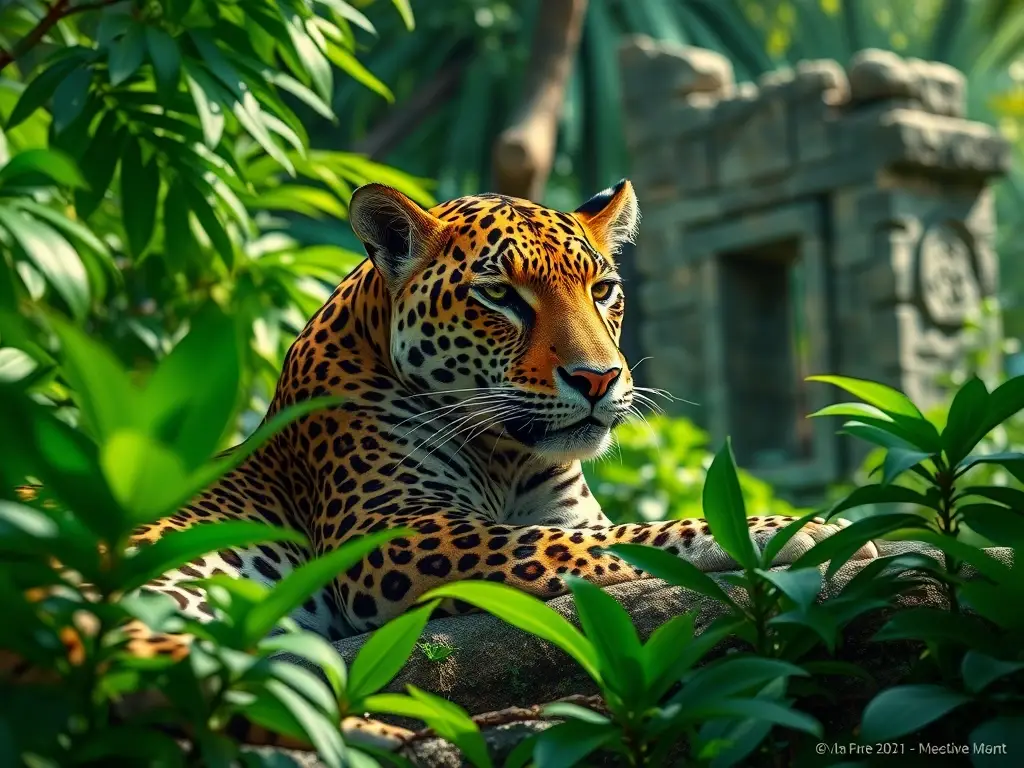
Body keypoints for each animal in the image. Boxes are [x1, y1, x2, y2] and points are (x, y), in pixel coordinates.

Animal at [5, 179, 878, 754]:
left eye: (603, 289)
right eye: (502, 298)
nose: (600, 380)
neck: (508, 455)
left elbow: (594, 530)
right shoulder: (391, 538)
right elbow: (596, 544)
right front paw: (780, 530)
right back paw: (390, 740)